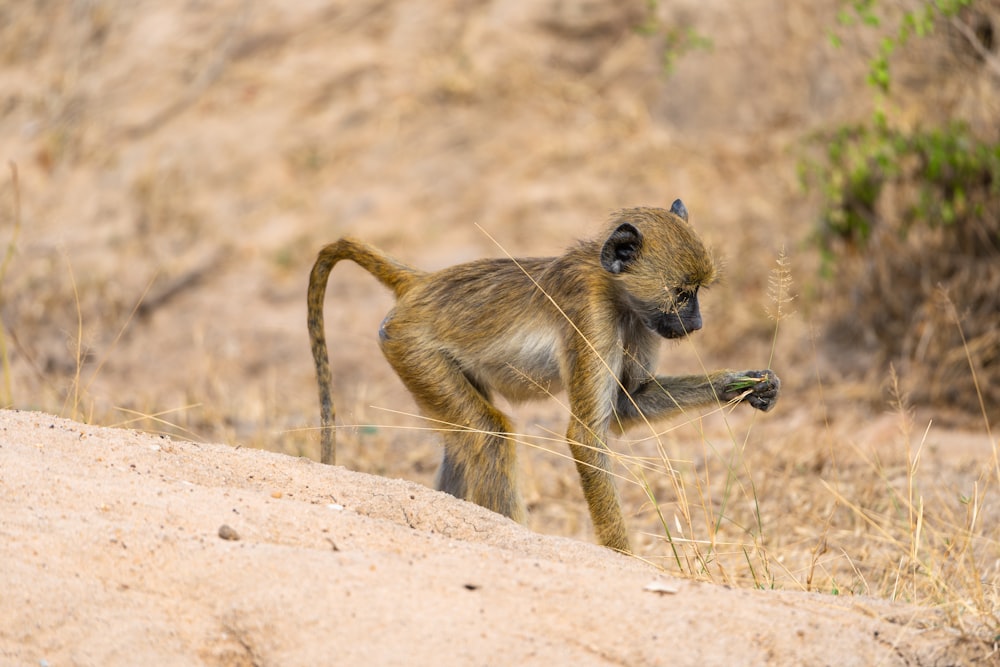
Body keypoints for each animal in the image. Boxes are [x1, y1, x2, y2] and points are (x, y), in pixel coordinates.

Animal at [306, 200, 780, 552]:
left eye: (697, 293)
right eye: (682, 294)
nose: (696, 324)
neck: (614, 289)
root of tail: (423, 283)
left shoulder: (642, 323)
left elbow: (629, 404)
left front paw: (746, 386)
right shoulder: (591, 315)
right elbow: (586, 436)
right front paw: (627, 561)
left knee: (463, 444)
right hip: (410, 345)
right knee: (489, 435)